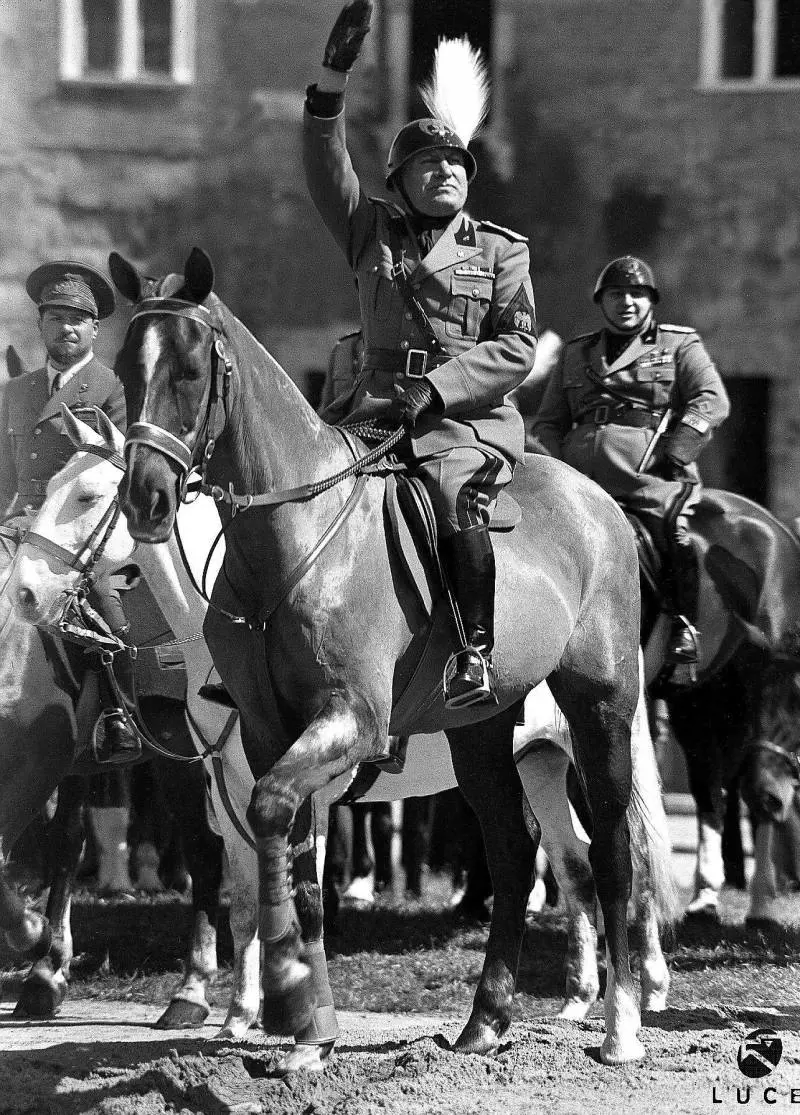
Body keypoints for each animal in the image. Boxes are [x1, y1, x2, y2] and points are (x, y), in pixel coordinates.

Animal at [109, 247, 650, 1067]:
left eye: (191, 370)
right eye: (123, 367)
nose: (143, 499)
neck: (293, 540)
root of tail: (599, 501)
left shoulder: (350, 722)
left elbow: (274, 821)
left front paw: (283, 995)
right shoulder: (267, 736)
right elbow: (293, 860)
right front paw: (308, 1030)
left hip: (600, 708)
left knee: (614, 851)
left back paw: (620, 1024)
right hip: (482, 733)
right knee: (515, 849)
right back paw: (485, 1021)